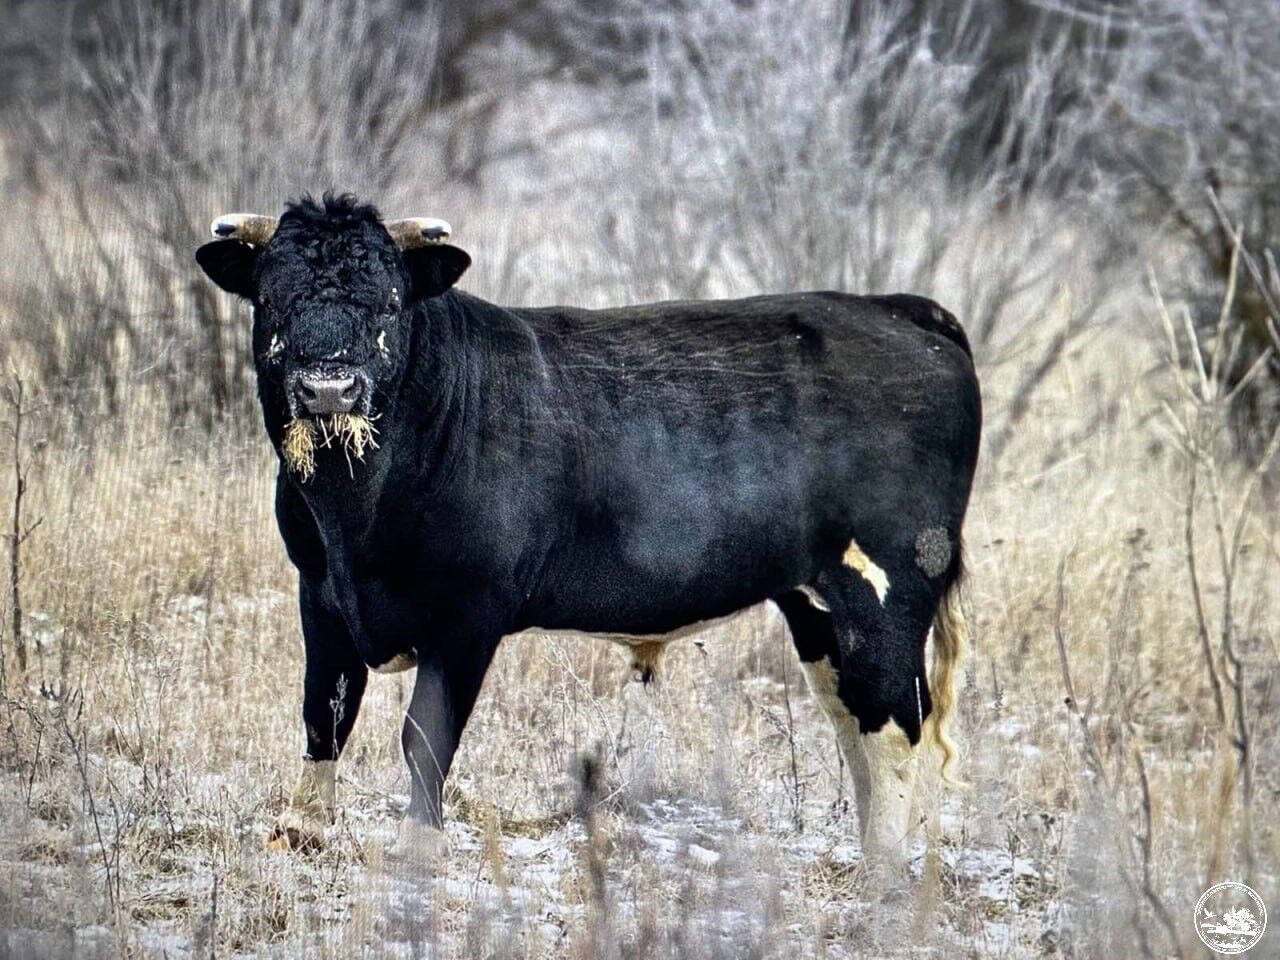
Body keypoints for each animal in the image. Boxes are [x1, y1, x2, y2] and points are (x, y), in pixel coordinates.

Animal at [197, 195, 977, 865]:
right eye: (273, 297)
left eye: (387, 300)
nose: (329, 387)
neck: (355, 515)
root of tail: (901, 309)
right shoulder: (320, 588)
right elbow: (324, 709)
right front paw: (301, 831)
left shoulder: (469, 611)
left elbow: (425, 736)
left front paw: (416, 849)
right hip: (815, 603)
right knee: (852, 716)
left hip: (886, 584)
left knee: (894, 722)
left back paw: (883, 870)